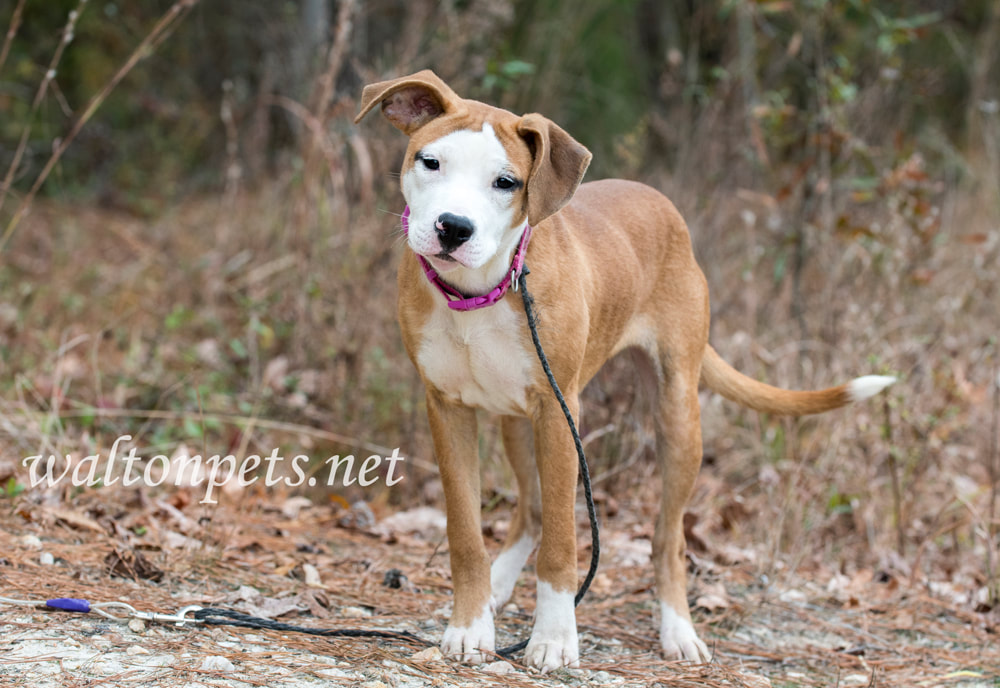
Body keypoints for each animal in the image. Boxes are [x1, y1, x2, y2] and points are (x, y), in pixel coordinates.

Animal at [356, 70, 896, 672]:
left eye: (505, 182)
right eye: (430, 162)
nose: (453, 228)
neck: (480, 292)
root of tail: (659, 200)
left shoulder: (559, 414)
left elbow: (564, 545)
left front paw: (554, 638)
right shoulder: (448, 408)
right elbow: (466, 534)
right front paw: (472, 627)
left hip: (674, 415)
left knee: (667, 540)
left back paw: (678, 629)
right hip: (517, 419)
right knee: (532, 510)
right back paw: (500, 586)